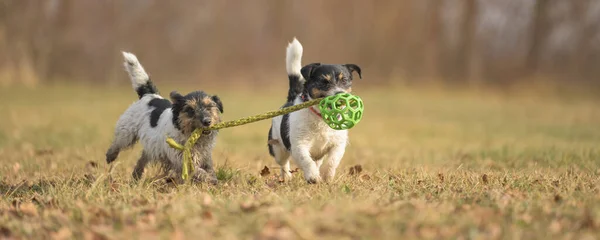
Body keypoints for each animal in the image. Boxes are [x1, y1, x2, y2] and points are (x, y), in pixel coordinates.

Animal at [105, 52, 223, 184]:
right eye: (190, 110)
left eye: (209, 106)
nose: (207, 121)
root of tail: (150, 94)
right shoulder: (181, 159)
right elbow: (199, 172)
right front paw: (211, 180)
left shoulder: (205, 157)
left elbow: (208, 169)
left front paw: (213, 179)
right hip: (126, 132)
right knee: (117, 143)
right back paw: (110, 156)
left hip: (151, 145)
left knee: (142, 158)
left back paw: (136, 175)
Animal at [270, 38, 364, 184]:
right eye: (324, 81)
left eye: (344, 80)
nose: (339, 94)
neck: (321, 118)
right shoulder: (299, 144)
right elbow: (306, 160)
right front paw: (313, 177)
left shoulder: (338, 144)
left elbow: (332, 161)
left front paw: (327, 176)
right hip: (277, 147)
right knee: (283, 163)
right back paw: (287, 177)